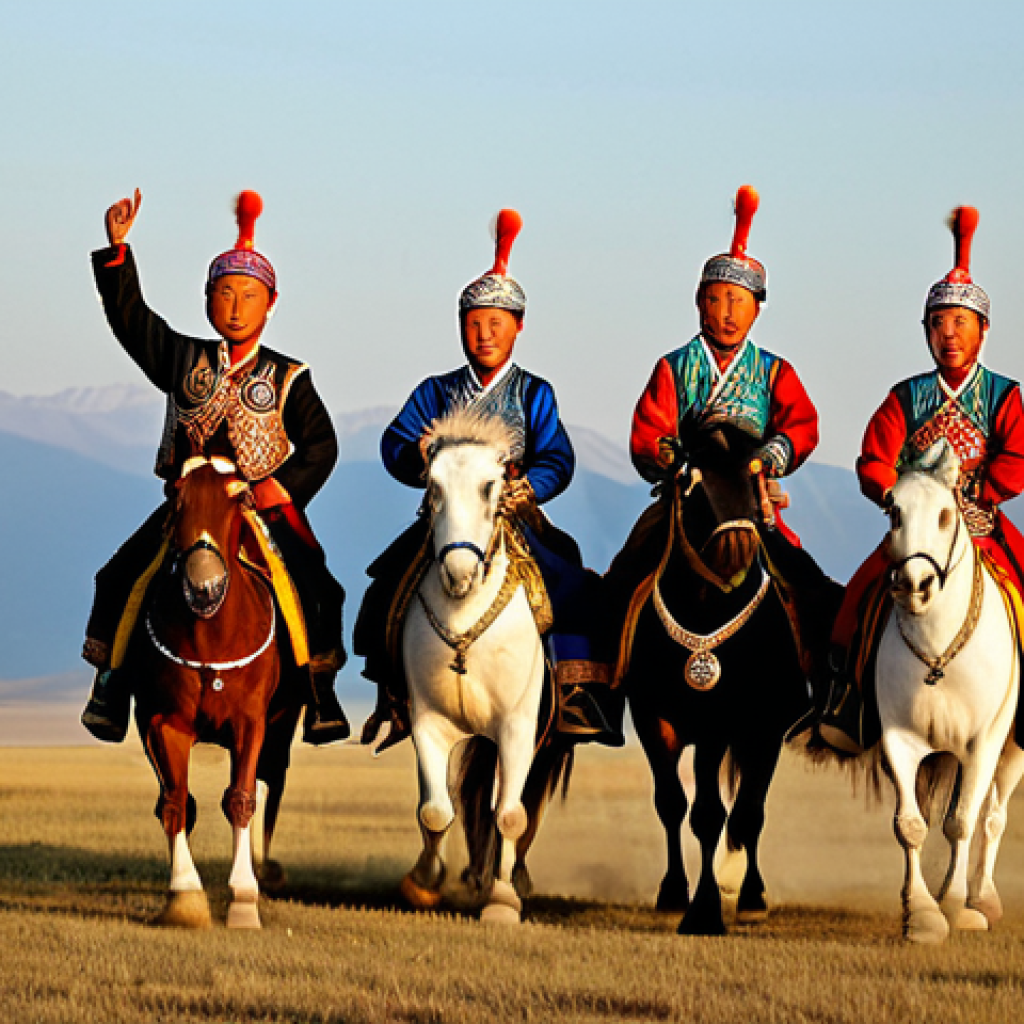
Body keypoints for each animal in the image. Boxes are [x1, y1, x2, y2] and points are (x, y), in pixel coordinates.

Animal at [124, 455, 303, 929]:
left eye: (239, 497)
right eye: (175, 495)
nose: (203, 585)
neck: (210, 635)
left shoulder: (250, 723)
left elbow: (241, 798)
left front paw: (244, 899)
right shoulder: (163, 723)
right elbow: (175, 802)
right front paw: (184, 897)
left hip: (280, 731)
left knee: (266, 787)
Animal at [397, 409, 570, 924]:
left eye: (491, 485)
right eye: (432, 486)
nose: (459, 572)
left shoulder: (517, 727)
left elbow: (510, 814)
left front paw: (503, 900)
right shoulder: (427, 721)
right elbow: (435, 810)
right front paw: (423, 883)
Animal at [610, 419, 830, 935]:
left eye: (755, 472)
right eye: (691, 479)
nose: (738, 547)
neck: (706, 609)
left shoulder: (729, 724)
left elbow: (720, 813)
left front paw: (708, 909)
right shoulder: (653, 718)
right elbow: (674, 804)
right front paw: (676, 894)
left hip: (761, 734)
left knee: (750, 812)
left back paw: (752, 894)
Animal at [877, 440, 1024, 944]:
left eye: (944, 514)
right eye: (893, 510)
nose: (914, 585)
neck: (939, 652)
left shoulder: (983, 742)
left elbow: (962, 823)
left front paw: (957, 907)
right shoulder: (898, 740)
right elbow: (911, 825)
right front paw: (921, 913)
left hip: (1013, 748)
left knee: (993, 817)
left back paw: (984, 898)